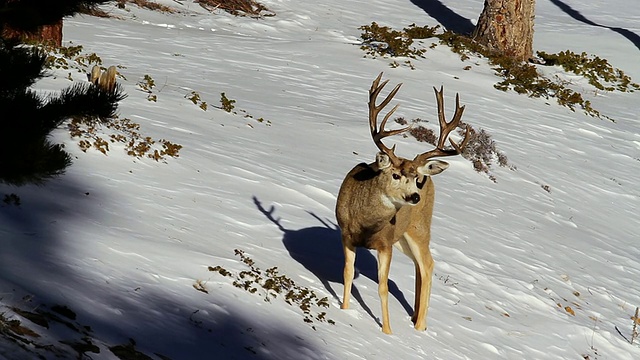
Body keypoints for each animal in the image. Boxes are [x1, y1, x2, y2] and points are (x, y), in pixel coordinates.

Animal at [336, 72, 470, 334]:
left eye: (415, 178)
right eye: (396, 175)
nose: (415, 196)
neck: (366, 226)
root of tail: (432, 176)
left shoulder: (385, 243)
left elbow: (383, 287)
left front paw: (387, 332)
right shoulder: (346, 234)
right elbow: (347, 273)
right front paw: (344, 311)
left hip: (419, 228)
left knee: (428, 264)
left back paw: (420, 326)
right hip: (404, 238)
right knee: (419, 266)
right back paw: (416, 317)